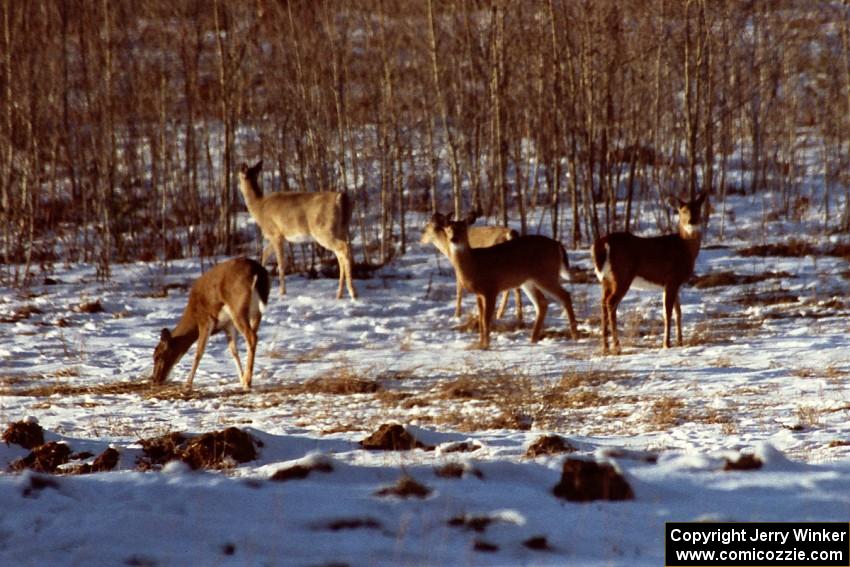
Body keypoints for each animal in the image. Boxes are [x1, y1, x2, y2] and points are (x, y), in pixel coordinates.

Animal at [152, 258, 268, 390]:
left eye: (157, 356)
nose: (154, 379)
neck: (193, 315)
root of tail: (257, 271)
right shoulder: (228, 325)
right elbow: (233, 351)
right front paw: (240, 378)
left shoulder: (205, 320)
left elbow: (199, 352)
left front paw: (188, 383)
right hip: (255, 312)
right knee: (253, 336)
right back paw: (246, 380)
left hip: (238, 309)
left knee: (252, 337)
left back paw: (248, 382)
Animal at [237, 161, 356, 302]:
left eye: (238, 175)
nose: (238, 187)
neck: (258, 207)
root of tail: (341, 198)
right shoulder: (279, 236)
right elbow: (265, 254)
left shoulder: (275, 233)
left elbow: (281, 263)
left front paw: (282, 292)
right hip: (341, 229)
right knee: (340, 254)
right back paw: (339, 294)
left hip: (323, 230)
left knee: (343, 249)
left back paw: (353, 293)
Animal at [430, 211, 576, 348]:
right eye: (448, 229)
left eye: (463, 229)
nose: (453, 239)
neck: (475, 265)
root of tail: (558, 244)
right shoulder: (479, 293)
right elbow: (481, 319)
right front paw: (480, 344)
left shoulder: (491, 289)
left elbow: (486, 319)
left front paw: (486, 345)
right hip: (528, 281)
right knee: (542, 303)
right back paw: (533, 339)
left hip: (545, 274)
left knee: (565, 296)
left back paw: (574, 334)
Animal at [588, 191, 704, 356]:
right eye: (683, 211)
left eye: (698, 209)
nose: (691, 221)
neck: (685, 249)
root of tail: (602, 244)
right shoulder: (671, 278)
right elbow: (667, 312)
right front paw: (667, 344)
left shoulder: (675, 283)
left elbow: (678, 312)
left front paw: (680, 342)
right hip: (622, 275)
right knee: (611, 303)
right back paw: (617, 346)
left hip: (606, 279)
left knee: (603, 302)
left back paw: (605, 347)